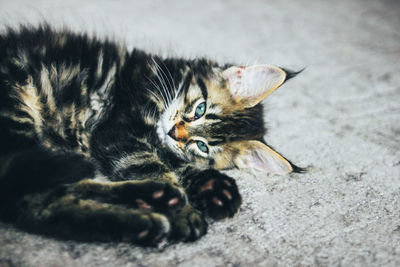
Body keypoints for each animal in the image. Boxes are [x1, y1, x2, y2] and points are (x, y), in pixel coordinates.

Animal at [0, 24, 302, 247]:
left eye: (202, 146)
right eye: (200, 109)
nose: (174, 132)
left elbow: (176, 163)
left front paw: (215, 189)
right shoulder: (119, 130)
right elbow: (151, 164)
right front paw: (185, 212)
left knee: (38, 200)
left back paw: (147, 210)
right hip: (18, 109)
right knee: (28, 200)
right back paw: (154, 208)